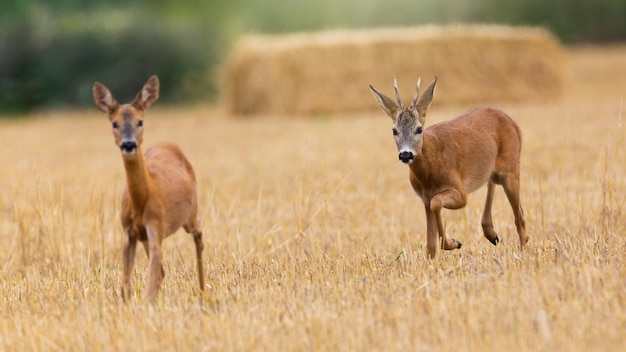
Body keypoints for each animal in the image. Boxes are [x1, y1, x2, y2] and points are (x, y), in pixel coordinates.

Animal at [93, 76, 205, 302]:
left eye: (140, 122)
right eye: (115, 123)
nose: (128, 144)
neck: (142, 200)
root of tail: (171, 145)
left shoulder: (156, 227)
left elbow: (150, 287)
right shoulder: (129, 233)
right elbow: (126, 284)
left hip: (191, 214)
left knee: (199, 234)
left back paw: (204, 292)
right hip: (145, 236)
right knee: (162, 272)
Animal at [370, 77, 528, 258]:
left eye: (419, 129)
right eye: (394, 130)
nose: (405, 154)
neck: (429, 174)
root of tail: (513, 122)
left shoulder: (459, 191)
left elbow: (437, 203)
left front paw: (453, 243)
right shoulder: (424, 198)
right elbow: (430, 245)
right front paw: (436, 257)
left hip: (511, 168)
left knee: (519, 215)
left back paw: (522, 250)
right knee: (492, 182)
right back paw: (492, 233)